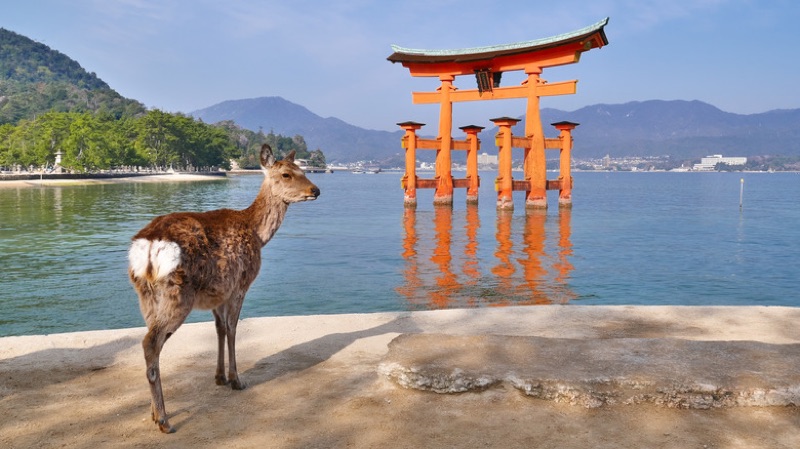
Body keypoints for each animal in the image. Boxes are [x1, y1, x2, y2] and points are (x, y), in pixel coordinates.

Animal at [128, 144, 320, 433]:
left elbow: (218, 329)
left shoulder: (216, 293)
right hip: (177, 294)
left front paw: (219, 377)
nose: (315, 190)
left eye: (303, 170)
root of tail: (148, 246)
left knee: (151, 342)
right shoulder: (240, 284)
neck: (257, 234)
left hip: (146, 296)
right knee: (151, 342)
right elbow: (232, 329)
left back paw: (153, 413)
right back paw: (164, 420)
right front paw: (236, 379)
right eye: (286, 174)